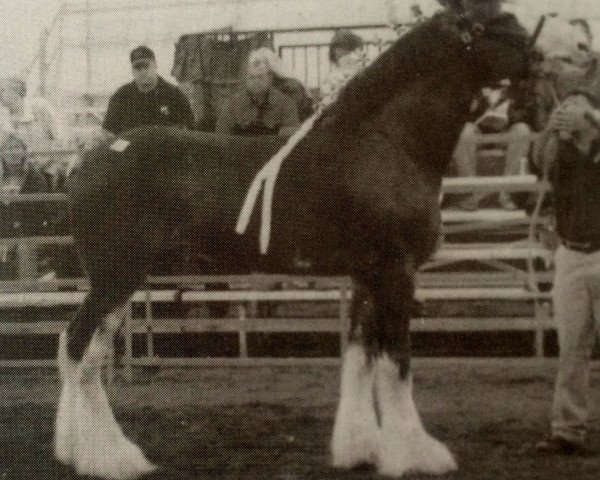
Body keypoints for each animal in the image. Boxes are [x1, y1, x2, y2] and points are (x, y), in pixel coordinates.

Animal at [57, 2, 536, 476]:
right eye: (494, 22)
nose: (539, 60)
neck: (386, 142)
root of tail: (82, 164)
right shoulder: (395, 275)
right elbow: (396, 364)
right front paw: (417, 455)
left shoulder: (367, 277)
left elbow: (361, 359)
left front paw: (360, 448)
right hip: (115, 278)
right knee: (81, 350)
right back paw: (111, 458)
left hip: (116, 284)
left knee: (79, 351)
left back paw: (81, 450)